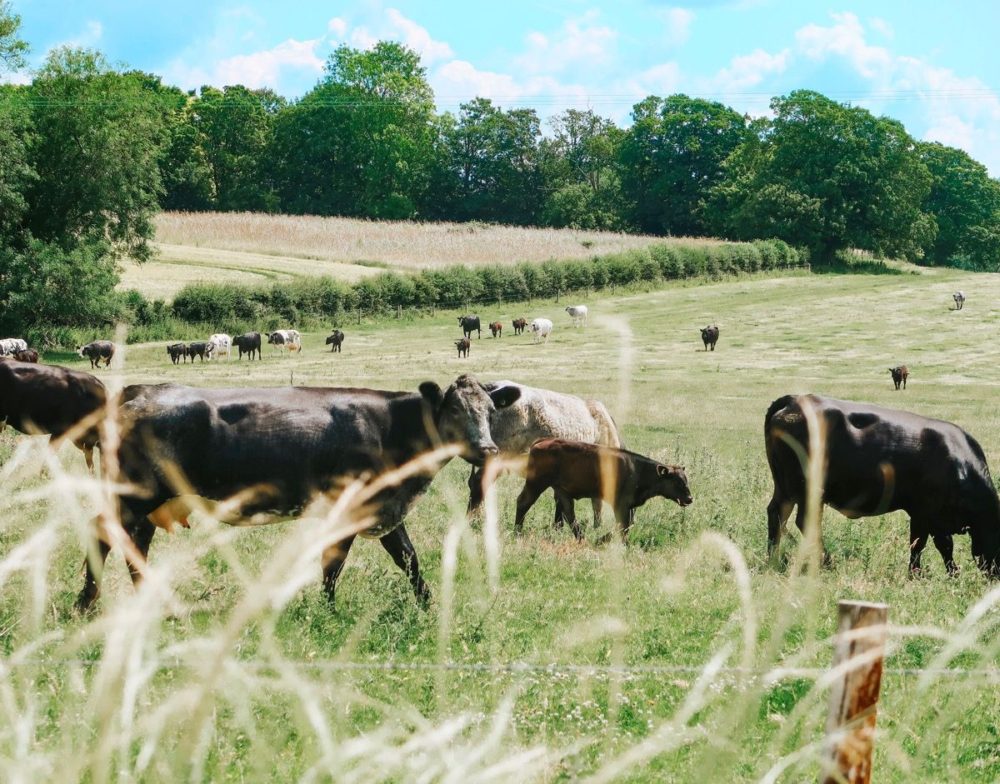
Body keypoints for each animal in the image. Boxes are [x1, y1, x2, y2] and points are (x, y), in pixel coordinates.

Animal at [78, 376, 524, 612]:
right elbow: (335, 563)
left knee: (135, 542)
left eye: (490, 411)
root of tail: (139, 390)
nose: (487, 449)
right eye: (454, 410)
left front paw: (429, 605)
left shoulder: (381, 507)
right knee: (103, 533)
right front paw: (329, 610)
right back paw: (88, 604)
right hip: (136, 494)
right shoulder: (351, 506)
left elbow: (408, 558)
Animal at [512, 438, 692, 544]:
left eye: (685, 480)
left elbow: (627, 524)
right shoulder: (620, 504)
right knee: (523, 502)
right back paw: (517, 533)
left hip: (561, 491)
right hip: (536, 484)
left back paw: (582, 539)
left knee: (569, 514)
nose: (690, 498)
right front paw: (606, 540)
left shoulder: (629, 506)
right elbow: (623, 525)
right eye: (677, 481)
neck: (638, 470)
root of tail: (543, 442)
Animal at [764, 396, 1000, 572]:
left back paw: (773, 559)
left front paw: (916, 574)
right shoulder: (929, 513)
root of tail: (794, 400)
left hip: (785, 487)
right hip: (808, 489)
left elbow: (919, 544)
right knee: (804, 522)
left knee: (777, 514)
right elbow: (940, 545)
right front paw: (950, 574)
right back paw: (827, 562)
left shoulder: (922, 514)